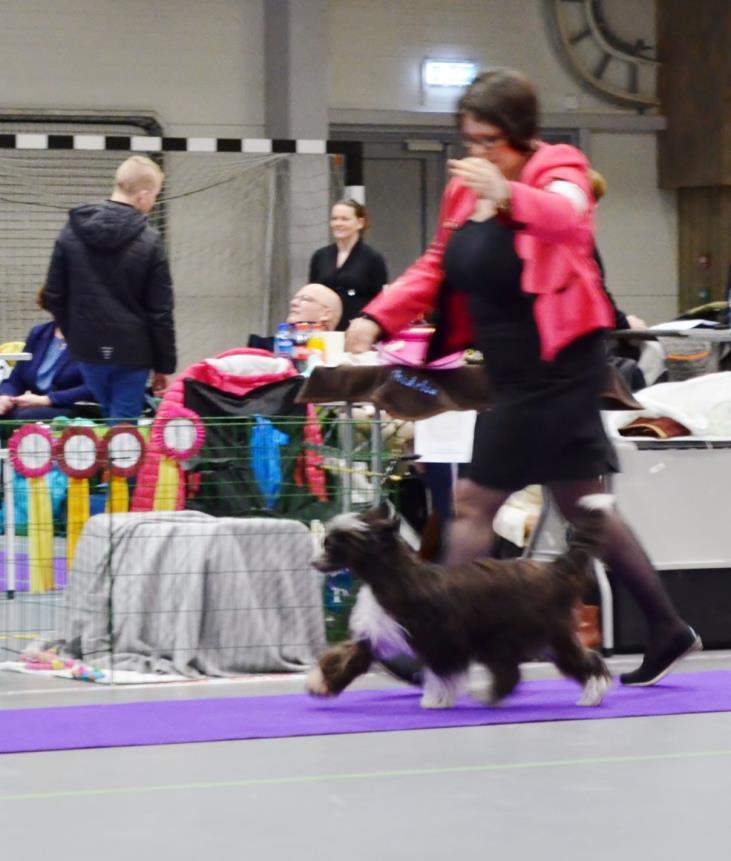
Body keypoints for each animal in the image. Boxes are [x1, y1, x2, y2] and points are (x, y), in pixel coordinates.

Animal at [306, 498, 616, 704]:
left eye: (332, 544)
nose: (313, 562)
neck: (393, 577)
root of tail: (554, 570)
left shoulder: (438, 636)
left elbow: (442, 671)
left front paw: (435, 700)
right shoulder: (378, 631)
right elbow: (347, 657)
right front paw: (321, 683)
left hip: (521, 633)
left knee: (535, 668)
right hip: (529, 636)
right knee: (557, 663)